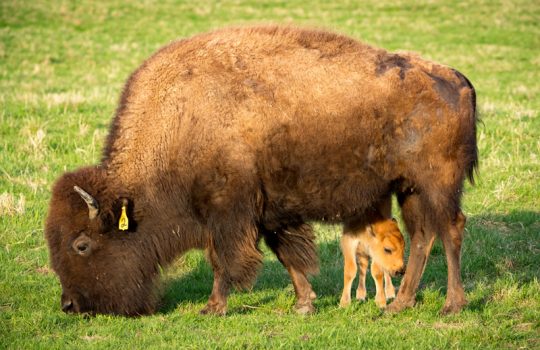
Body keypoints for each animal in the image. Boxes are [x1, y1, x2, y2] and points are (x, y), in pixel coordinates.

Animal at [46, 23, 476, 314]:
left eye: (81, 244)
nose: (70, 305)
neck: (181, 120)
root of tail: (458, 80)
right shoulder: (269, 211)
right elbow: (287, 255)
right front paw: (305, 302)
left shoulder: (228, 214)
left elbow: (224, 260)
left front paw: (213, 307)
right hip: (410, 188)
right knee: (422, 236)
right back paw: (401, 303)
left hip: (438, 184)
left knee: (450, 229)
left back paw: (452, 304)